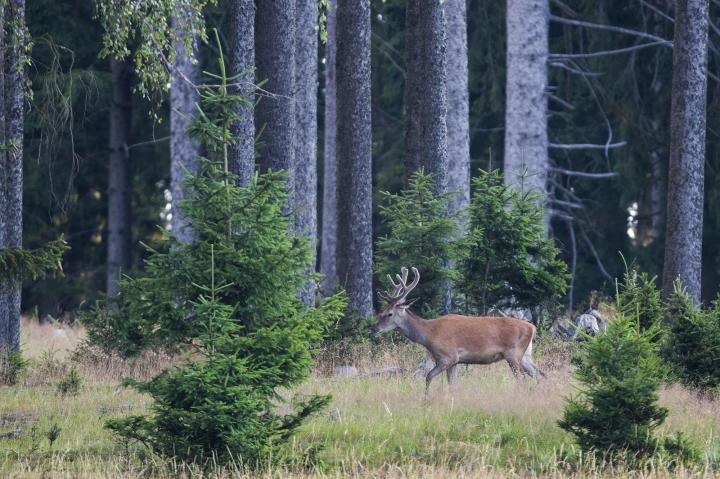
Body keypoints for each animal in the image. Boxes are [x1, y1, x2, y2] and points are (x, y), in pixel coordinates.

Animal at [372, 268, 544, 400]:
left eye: (389, 314)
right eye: (381, 312)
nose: (374, 329)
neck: (428, 334)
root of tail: (532, 328)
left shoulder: (448, 356)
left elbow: (428, 376)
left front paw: (425, 400)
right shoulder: (455, 361)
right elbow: (452, 384)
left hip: (513, 354)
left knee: (522, 379)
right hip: (525, 356)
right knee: (541, 375)